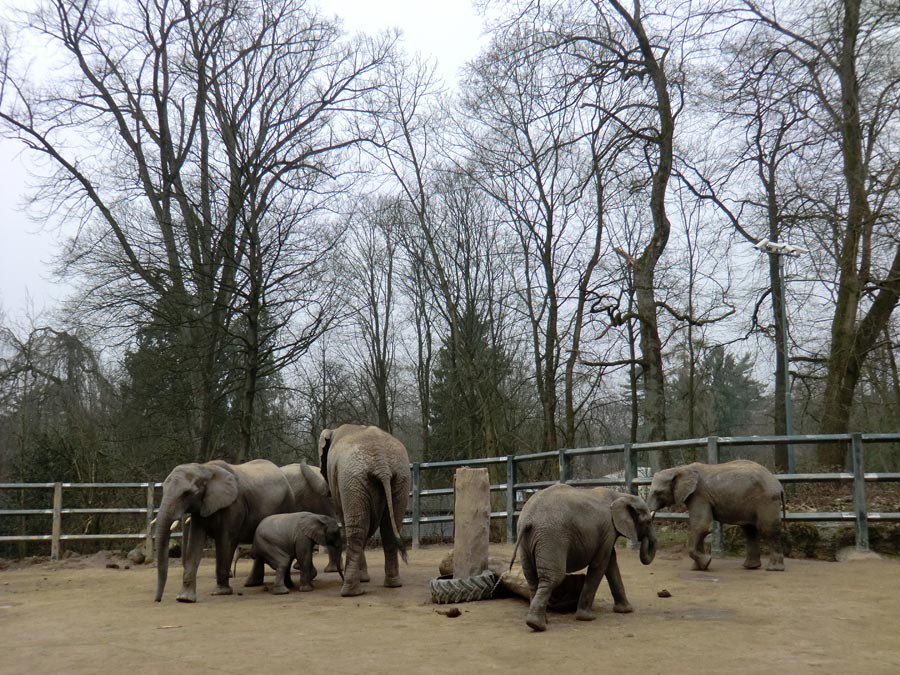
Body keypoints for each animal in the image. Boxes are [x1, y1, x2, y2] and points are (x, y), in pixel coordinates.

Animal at [154, 460, 296, 604]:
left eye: (187, 493)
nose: (158, 600)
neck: (205, 468)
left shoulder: (234, 505)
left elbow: (226, 541)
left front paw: (220, 592)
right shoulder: (201, 508)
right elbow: (195, 543)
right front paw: (184, 599)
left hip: (287, 504)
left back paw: (286, 585)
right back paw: (252, 584)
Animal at [318, 426, 410, 600]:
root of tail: (382, 463)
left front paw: (362, 579)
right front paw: (364, 578)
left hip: (353, 480)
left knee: (356, 529)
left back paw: (351, 592)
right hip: (401, 477)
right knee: (389, 528)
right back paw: (393, 584)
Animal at [510, 486, 656, 632]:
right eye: (648, 521)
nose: (645, 539)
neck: (621, 495)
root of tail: (528, 519)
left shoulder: (607, 533)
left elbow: (611, 563)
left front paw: (626, 610)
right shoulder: (608, 529)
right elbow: (600, 564)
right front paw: (587, 618)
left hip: (527, 541)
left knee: (531, 578)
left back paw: (539, 622)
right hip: (551, 538)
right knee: (552, 578)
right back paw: (537, 625)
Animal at [644, 456, 784, 572]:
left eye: (658, 492)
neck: (681, 469)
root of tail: (778, 484)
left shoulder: (699, 495)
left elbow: (702, 525)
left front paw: (706, 562)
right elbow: (698, 527)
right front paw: (698, 568)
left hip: (766, 500)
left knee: (767, 528)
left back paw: (774, 569)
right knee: (750, 530)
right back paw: (750, 567)